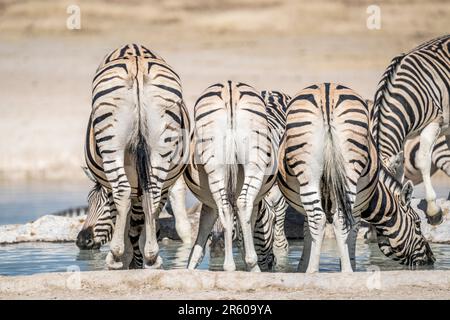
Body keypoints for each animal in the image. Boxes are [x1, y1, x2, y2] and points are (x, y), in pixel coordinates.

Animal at [84, 44, 190, 270]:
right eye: (88, 201)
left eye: (100, 203)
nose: (81, 241)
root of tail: (136, 60)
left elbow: (122, 220)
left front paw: (125, 257)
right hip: (162, 145)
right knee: (152, 192)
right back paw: (152, 256)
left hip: (111, 145)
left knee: (122, 191)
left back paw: (116, 256)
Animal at [184, 81, 278, 272]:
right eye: (274, 221)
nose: (273, 263)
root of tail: (230, 88)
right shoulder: (256, 204)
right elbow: (244, 230)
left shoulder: (208, 206)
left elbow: (198, 247)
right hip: (254, 162)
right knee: (243, 203)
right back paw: (247, 264)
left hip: (216, 164)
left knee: (226, 207)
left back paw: (228, 266)